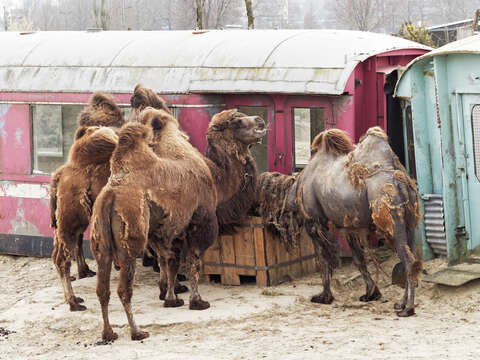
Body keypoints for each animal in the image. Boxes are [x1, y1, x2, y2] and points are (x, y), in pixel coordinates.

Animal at [255, 127, 420, 318]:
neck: (295, 189)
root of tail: (401, 182)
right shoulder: (350, 227)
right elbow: (358, 259)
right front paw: (371, 294)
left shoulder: (314, 223)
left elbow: (324, 258)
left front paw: (324, 297)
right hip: (409, 223)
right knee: (411, 257)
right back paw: (400, 304)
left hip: (391, 218)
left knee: (408, 260)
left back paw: (408, 309)